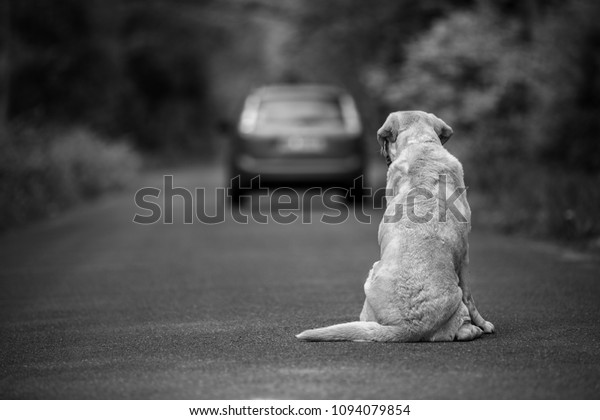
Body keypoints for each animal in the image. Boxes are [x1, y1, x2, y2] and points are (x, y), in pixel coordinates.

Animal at [296, 110, 496, 342]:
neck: (420, 143)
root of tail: (410, 327)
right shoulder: (465, 255)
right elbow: (470, 296)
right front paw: (483, 324)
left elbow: (470, 297)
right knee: (463, 323)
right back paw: (472, 329)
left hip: (371, 273)